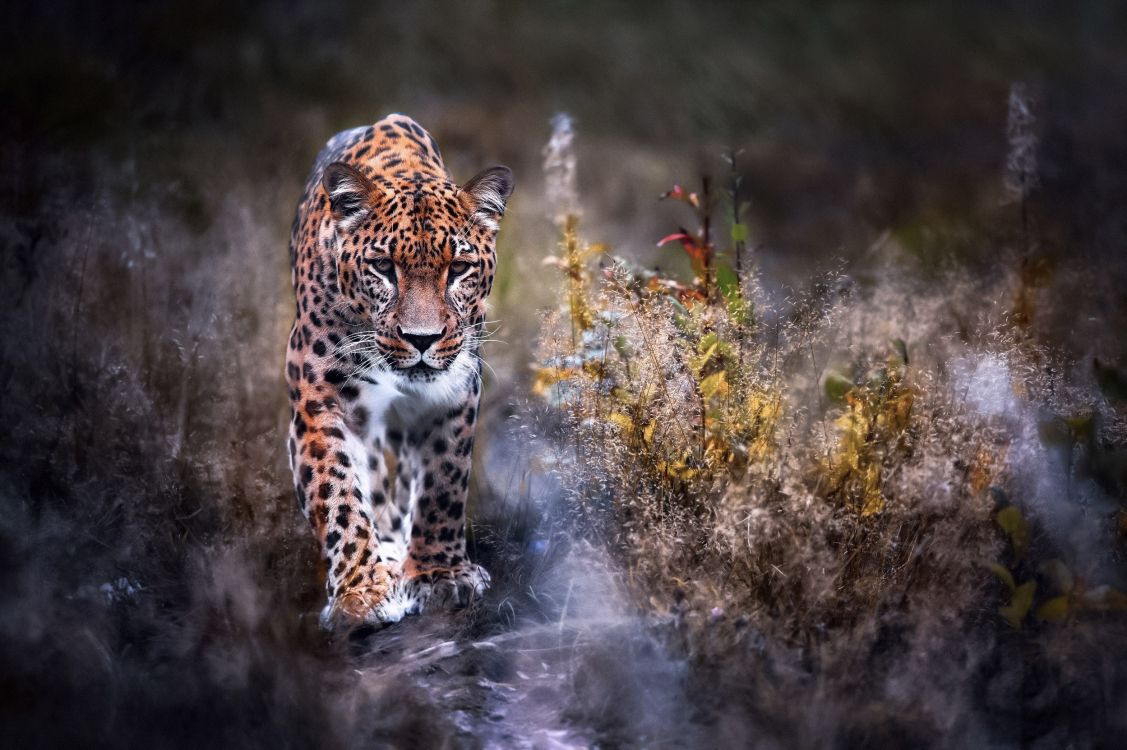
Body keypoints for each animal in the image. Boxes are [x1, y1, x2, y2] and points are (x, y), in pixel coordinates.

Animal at [284, 112, 513, 627]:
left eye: (459, 268)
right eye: (384, 266)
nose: (422, 339)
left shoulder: (455, 393)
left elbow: (443, 482)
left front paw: (439, 573)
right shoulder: (318, 400)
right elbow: (338, 494)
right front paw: (361, 591)